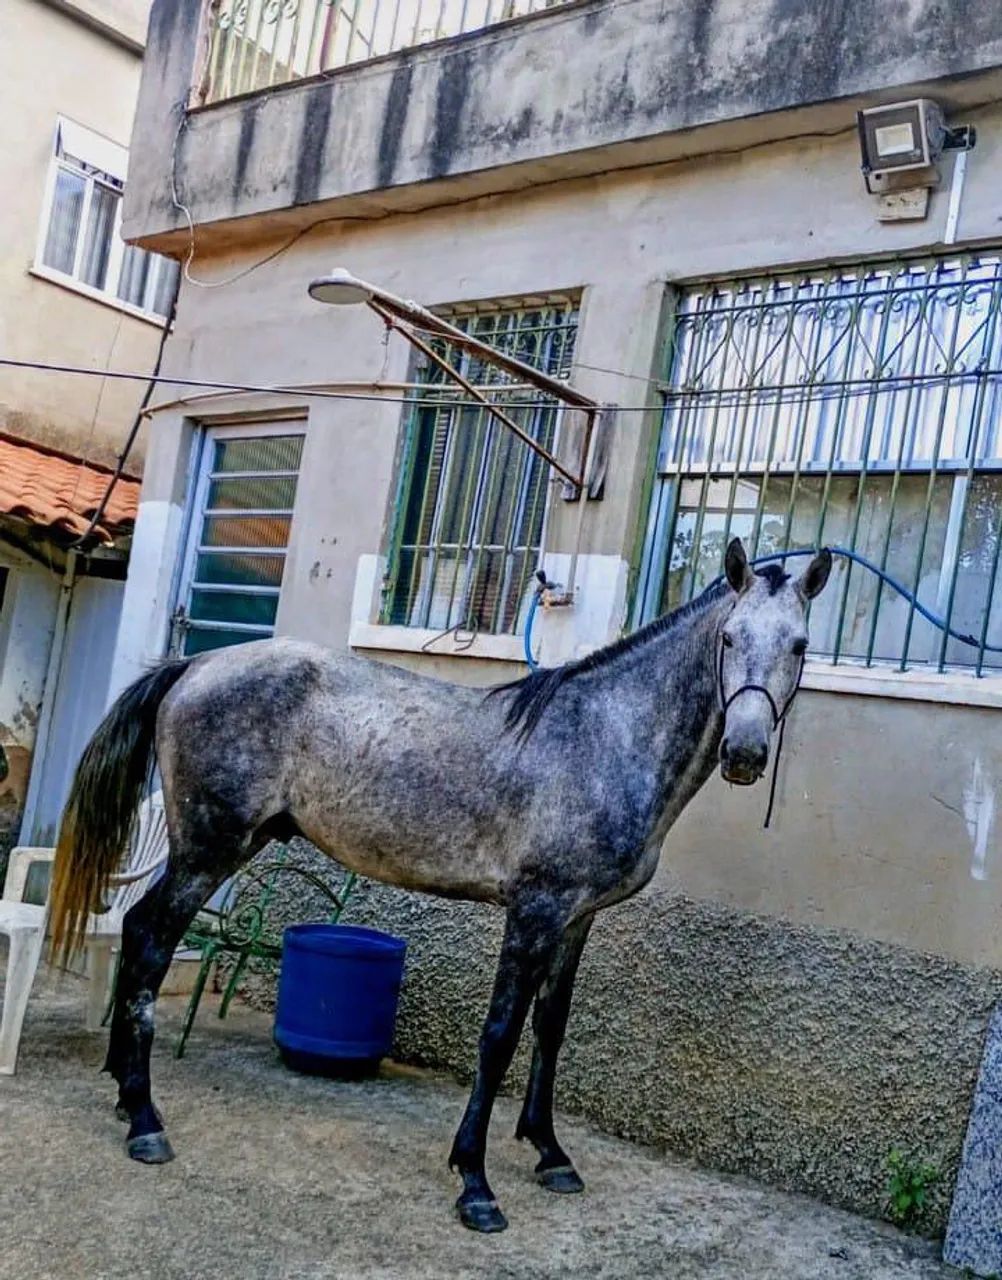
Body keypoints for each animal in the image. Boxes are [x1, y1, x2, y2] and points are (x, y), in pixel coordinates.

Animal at [48, 536, 831, 1233]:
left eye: (799, 646)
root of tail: (197, 664)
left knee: (138, 936)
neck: (603, 738)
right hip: (208, 849)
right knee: (149, 939)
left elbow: (551, 1028)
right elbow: (500, 1035)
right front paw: (476, 1184)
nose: (744, 753)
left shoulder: (577, 918)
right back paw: (144, 1119)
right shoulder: (535, 911)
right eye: (729, 638)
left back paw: (122, 1092)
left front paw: (550, 1154)